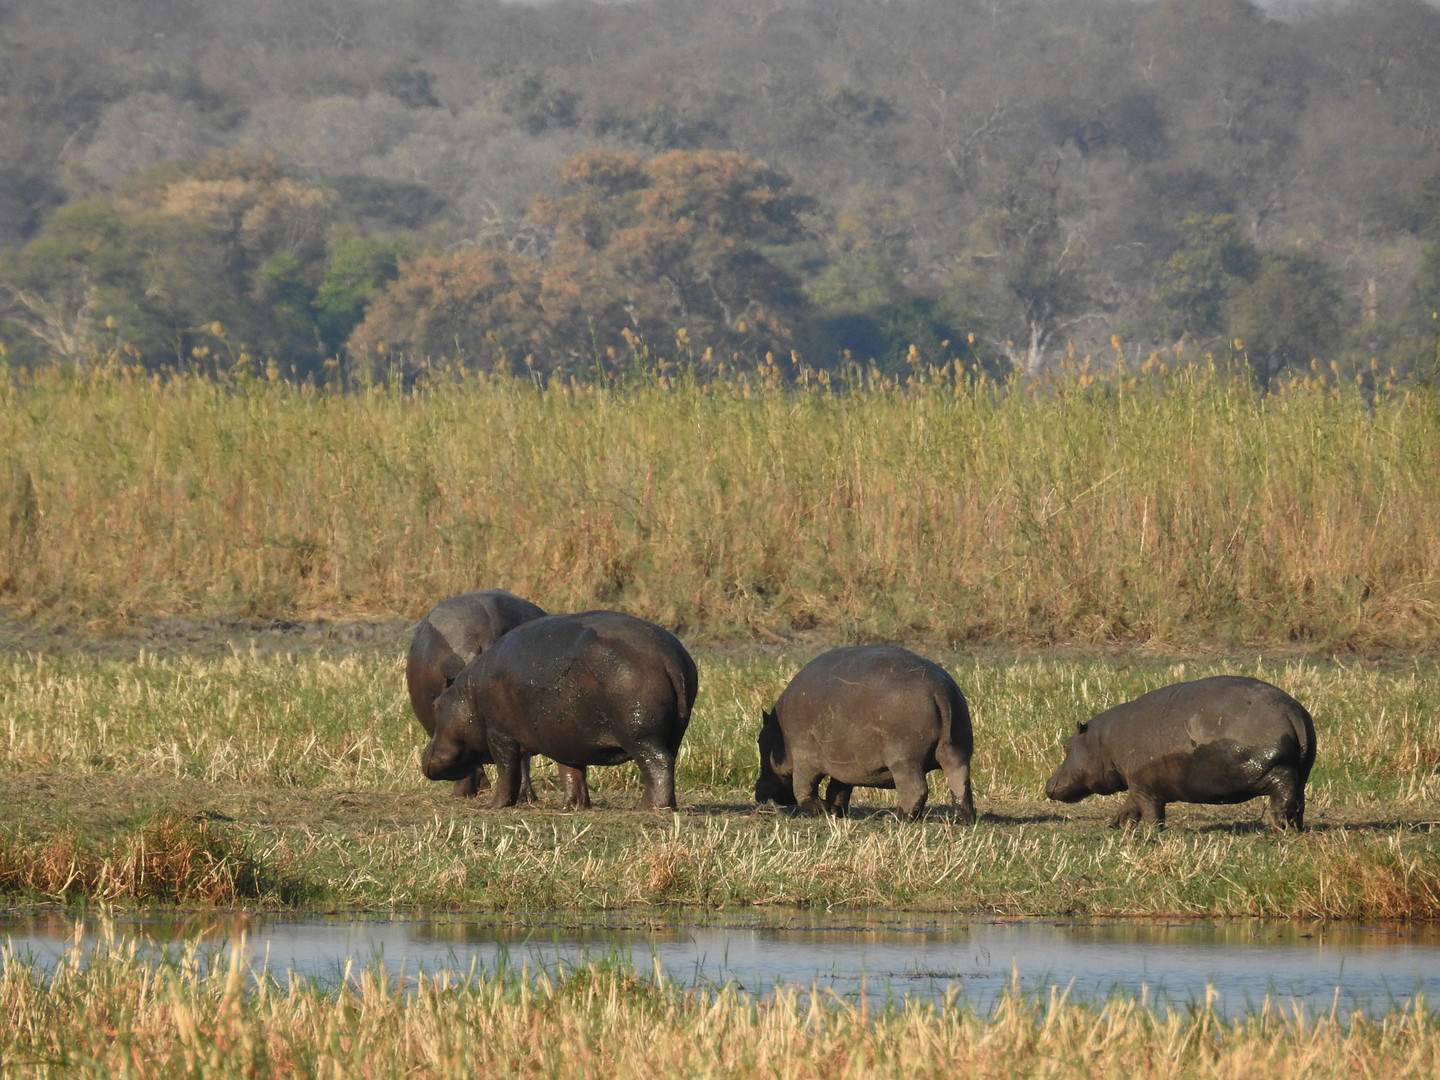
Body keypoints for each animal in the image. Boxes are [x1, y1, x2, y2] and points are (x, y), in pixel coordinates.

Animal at [420, 610, 696, 812]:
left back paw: (651, 808)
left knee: (658, 763)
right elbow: (571, 772)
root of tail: (669, 656)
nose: (424, 755)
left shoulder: (500, 736)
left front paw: (492, 806)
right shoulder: (565, 739)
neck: (468, 693)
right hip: (673, 732)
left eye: (437, 705)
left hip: (640, 735)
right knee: (666, 763)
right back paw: (651, 804)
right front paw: (572, 807)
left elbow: (507, 772)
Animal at [754, 648, 979, 823]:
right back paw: (962, 819)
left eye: (759, 740)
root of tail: (939, 690)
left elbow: (803, 790)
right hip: (957, 750)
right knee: (960, 782)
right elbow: (838, 790)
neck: (779, 732)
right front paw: (835, 812)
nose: (757, 793)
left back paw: (896, 818)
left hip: (905, 760)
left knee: (916, 790)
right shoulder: (843, 765)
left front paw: (823, 811)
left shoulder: (804, 758)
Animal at [1048, 673, 1319, 835]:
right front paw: (1116, 826)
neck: (1102, 742)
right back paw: (1295, 828)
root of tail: (1293, 712)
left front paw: (1149, 835)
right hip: (1301, 770)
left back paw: (1278, 826)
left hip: (1259, 772)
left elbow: (1150, 812)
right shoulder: (1137, 784)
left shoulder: (1144, 786)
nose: (1048, 783)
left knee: (1283, 786)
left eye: (1066, 745)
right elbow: (1129, 807)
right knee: (1298, 797)